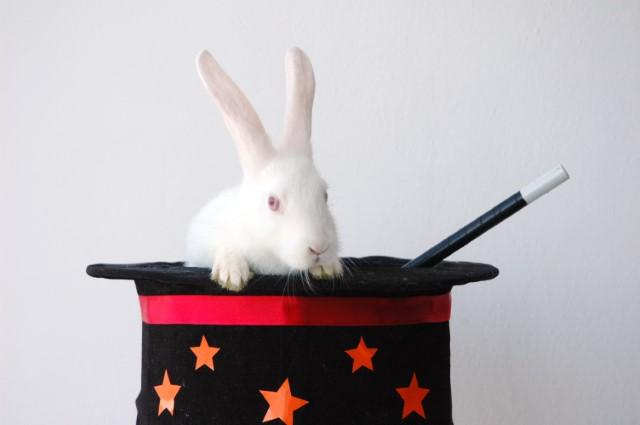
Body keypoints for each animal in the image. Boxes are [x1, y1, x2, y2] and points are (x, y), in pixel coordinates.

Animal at [185, 48, 342, 290]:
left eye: (324, 195)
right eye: (272, 202)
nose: (319, 248)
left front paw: (329, 268)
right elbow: (226, 249)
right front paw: (232, 275)